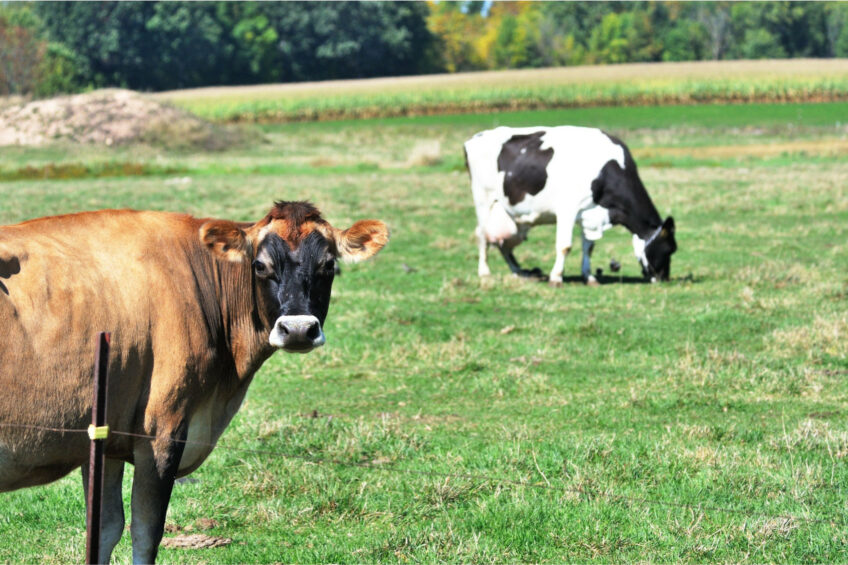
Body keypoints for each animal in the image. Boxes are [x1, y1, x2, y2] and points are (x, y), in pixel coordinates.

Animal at [0, 200, 390, 560]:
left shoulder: (106, 434)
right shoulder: (162, 430)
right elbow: (146, 532)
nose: (297, 329)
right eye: (260, 266)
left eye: (329, 265)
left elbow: (104, 530)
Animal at [464, 128, 676, 286]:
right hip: (483, 200)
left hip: (513, 220)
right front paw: (556, 277)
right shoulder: (567, 209)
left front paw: (588, 276)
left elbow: (588, 247)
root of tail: (474, 138)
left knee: (502, 243)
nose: (664, 279)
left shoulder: (588, 213)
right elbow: (565, 246)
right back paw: (485, 272)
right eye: (669, 249)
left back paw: (519, 271)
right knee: (482, 236)